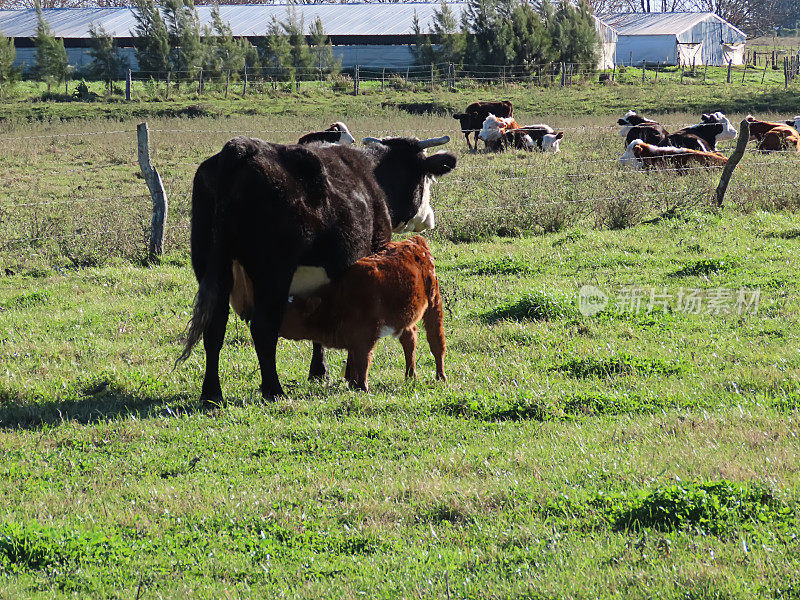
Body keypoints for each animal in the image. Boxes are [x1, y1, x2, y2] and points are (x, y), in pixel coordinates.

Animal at [278, 234, 446, 394]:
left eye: (287, 312)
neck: (339, 300)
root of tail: (414, 241)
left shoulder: (366, 336)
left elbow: (362, 361)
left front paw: (362, 387)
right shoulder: (354, 337)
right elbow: (353, 359)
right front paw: (353, 384)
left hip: (434, 303)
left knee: (436, 340)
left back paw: (441, 377)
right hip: (405, 317)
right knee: (409, 339)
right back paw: (410, 377)